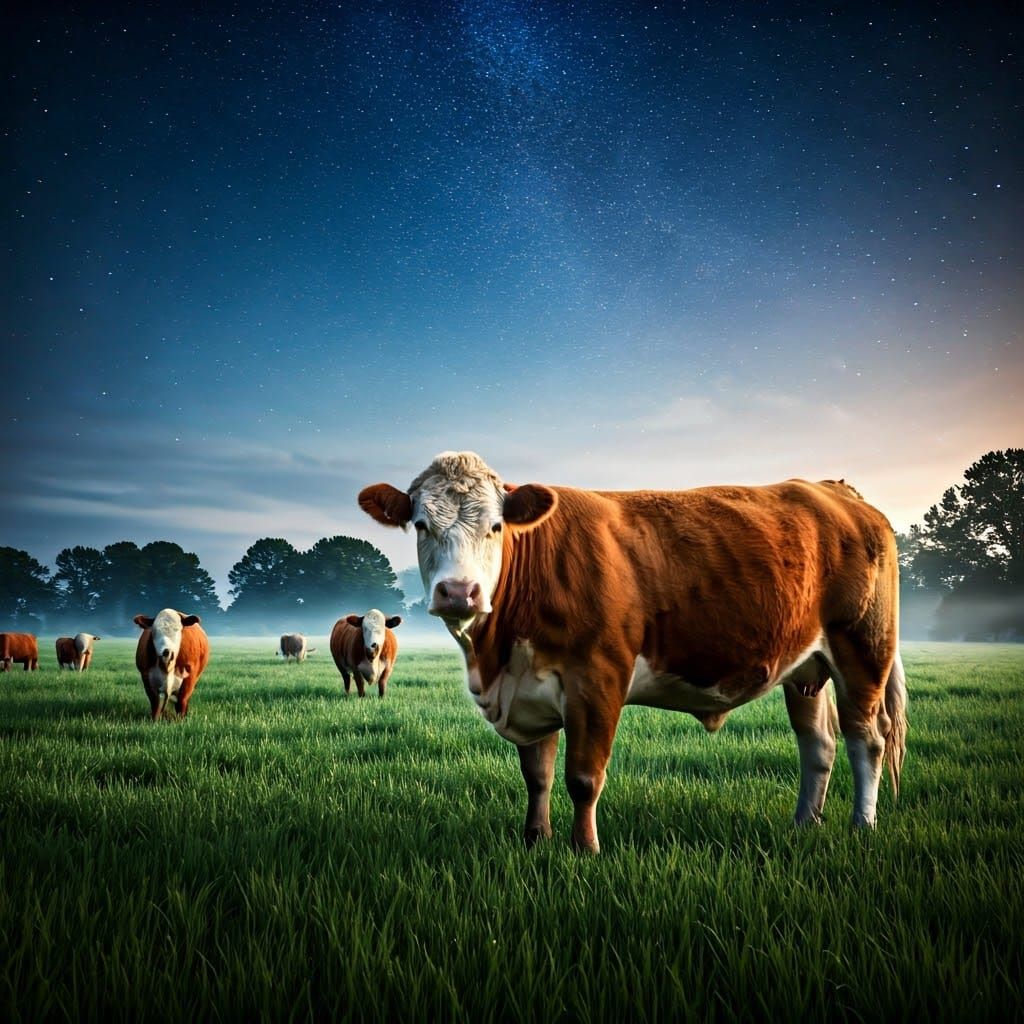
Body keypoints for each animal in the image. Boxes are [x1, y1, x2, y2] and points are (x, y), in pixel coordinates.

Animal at [358, 451, 907, 854]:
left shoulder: (598, 678)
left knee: (866, 739)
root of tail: (834, 489)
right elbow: (537, 776)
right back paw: (804, 823)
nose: (459, 593)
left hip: (863, 647)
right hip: (806, 667)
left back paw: (862, 825)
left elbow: (583, 778)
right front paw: (535, 840)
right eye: (422, 525)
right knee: (818, 743)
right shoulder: (527, 686)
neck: (495, 657)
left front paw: (585, 850)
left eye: (496, 527)